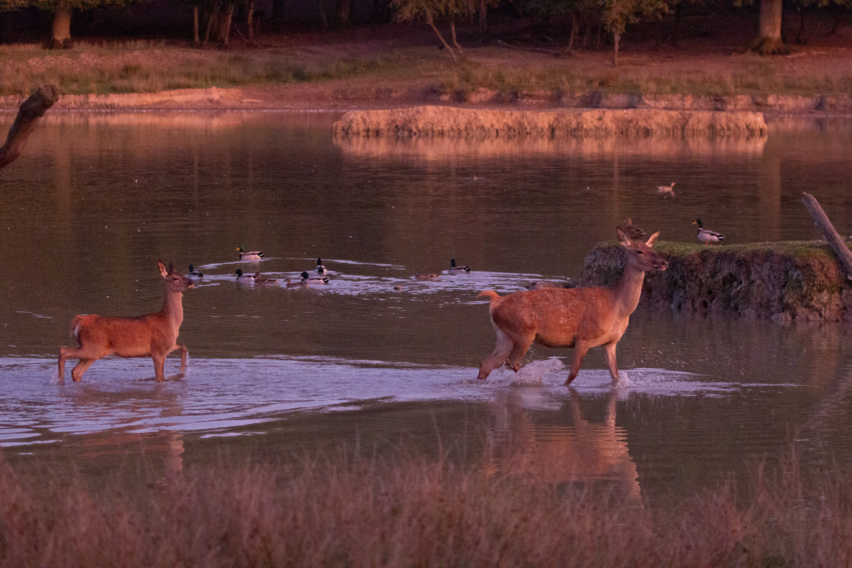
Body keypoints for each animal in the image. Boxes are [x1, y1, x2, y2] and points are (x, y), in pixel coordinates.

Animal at [58, 261, 195, 383]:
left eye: (184, 274)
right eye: (175, 278)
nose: (191, 282)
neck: (169, 322)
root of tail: (80, 320)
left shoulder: (169, 345)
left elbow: (184, 346)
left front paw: (182, 373)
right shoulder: (158, 351)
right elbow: (160, 379)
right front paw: (180, 373)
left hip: (94, 351)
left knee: (76, 371)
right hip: (92, 347)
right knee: (63, 351)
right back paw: (59, 381)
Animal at [477, 227, 667, 385]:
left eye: (653, 250)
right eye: (639, 251)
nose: (664, 262)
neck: (618, 308)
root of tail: (495, 302)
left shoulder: (610, 343)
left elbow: (615, 376)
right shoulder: (584, 337)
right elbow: (573, 374)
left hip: (504, 335)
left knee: (488, 363)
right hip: (523, 332)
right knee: (511, 361)